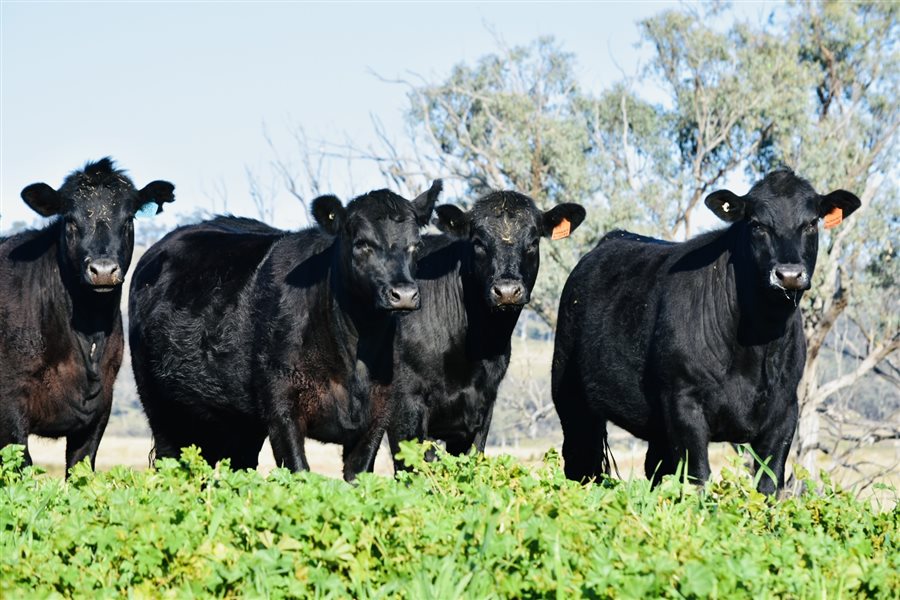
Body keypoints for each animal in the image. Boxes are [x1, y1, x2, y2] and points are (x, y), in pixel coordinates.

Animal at [131, 183, 442, 482]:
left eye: (416, 245)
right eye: (362, 243)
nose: (403, 294)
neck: (352, 359)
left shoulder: (377, 415)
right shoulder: (282, 412)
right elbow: (298, 473)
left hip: (234, 422)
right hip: (161, 408)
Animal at [552, 168, 860, 492]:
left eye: (811, 223)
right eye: (756, 224)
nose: (788, 274)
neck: (757, 342)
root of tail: (612, 238)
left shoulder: (786, 410)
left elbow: (768, 483)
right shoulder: (684, 402)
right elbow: (699, 477)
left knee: (655, 468)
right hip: (571, 397)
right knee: (580, 462)